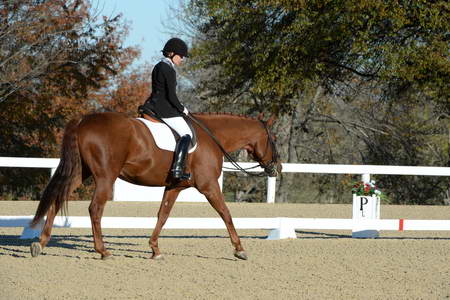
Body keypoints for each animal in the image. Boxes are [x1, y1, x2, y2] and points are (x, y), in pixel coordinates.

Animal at [29, 112, 280, 260]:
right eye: (274, 139)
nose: (277, 169)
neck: (212, 137)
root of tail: (83, 121)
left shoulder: (174, 187)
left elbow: (163, 215)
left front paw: (154, 249)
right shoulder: (208, 186)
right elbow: (225, 213)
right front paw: (240, 249)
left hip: (81, 173)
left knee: (57, 198)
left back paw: (40, 244)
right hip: (105, 177)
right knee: (95, 209)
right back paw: (103, 251)